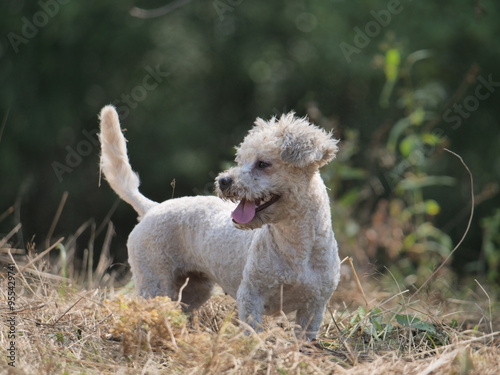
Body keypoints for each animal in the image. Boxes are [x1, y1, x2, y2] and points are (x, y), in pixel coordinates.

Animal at [97, 105, 340, 340]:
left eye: (263, 164)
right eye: (241, 161)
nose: (223, 181)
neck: (295, 249)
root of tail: (151, 207)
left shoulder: (314, 307)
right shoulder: (251, 295)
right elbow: (253, 331)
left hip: (195, 289)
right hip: (154, 280)